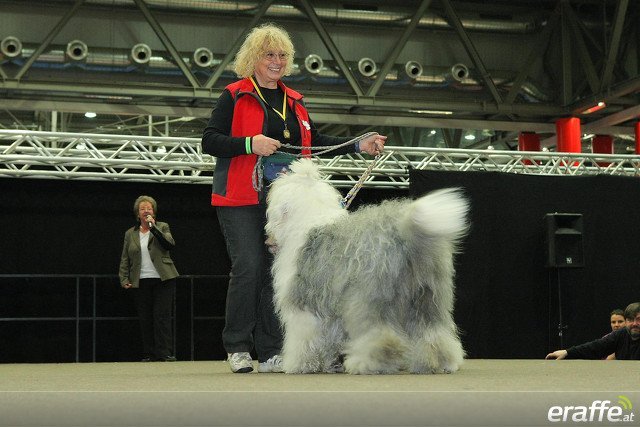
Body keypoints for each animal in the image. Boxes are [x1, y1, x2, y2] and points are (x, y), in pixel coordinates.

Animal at [265, 159, 469, 374]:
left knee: (380, 334)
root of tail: (405, 232)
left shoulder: (303, 302)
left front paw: (298, 364)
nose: (268, 239)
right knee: (433, 332)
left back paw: (368, 363)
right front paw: (328, 364)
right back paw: (439, 363)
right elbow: (329, 337)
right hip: (428, 296)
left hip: (369, 296)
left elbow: (303, 338)